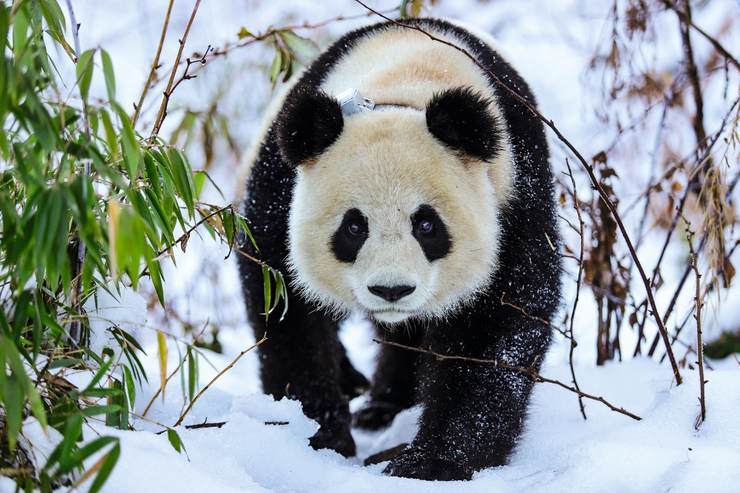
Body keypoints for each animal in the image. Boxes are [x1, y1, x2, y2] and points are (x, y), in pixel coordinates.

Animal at [237, 17, 560, 478]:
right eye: (354, 227)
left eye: (426, 225)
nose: (391, 290)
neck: (409, 82)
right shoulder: (279, 187)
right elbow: (284, 304)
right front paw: (317, 435)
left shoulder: (512, 195)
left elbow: (494, 329)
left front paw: (430, 462)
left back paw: (385, 405)